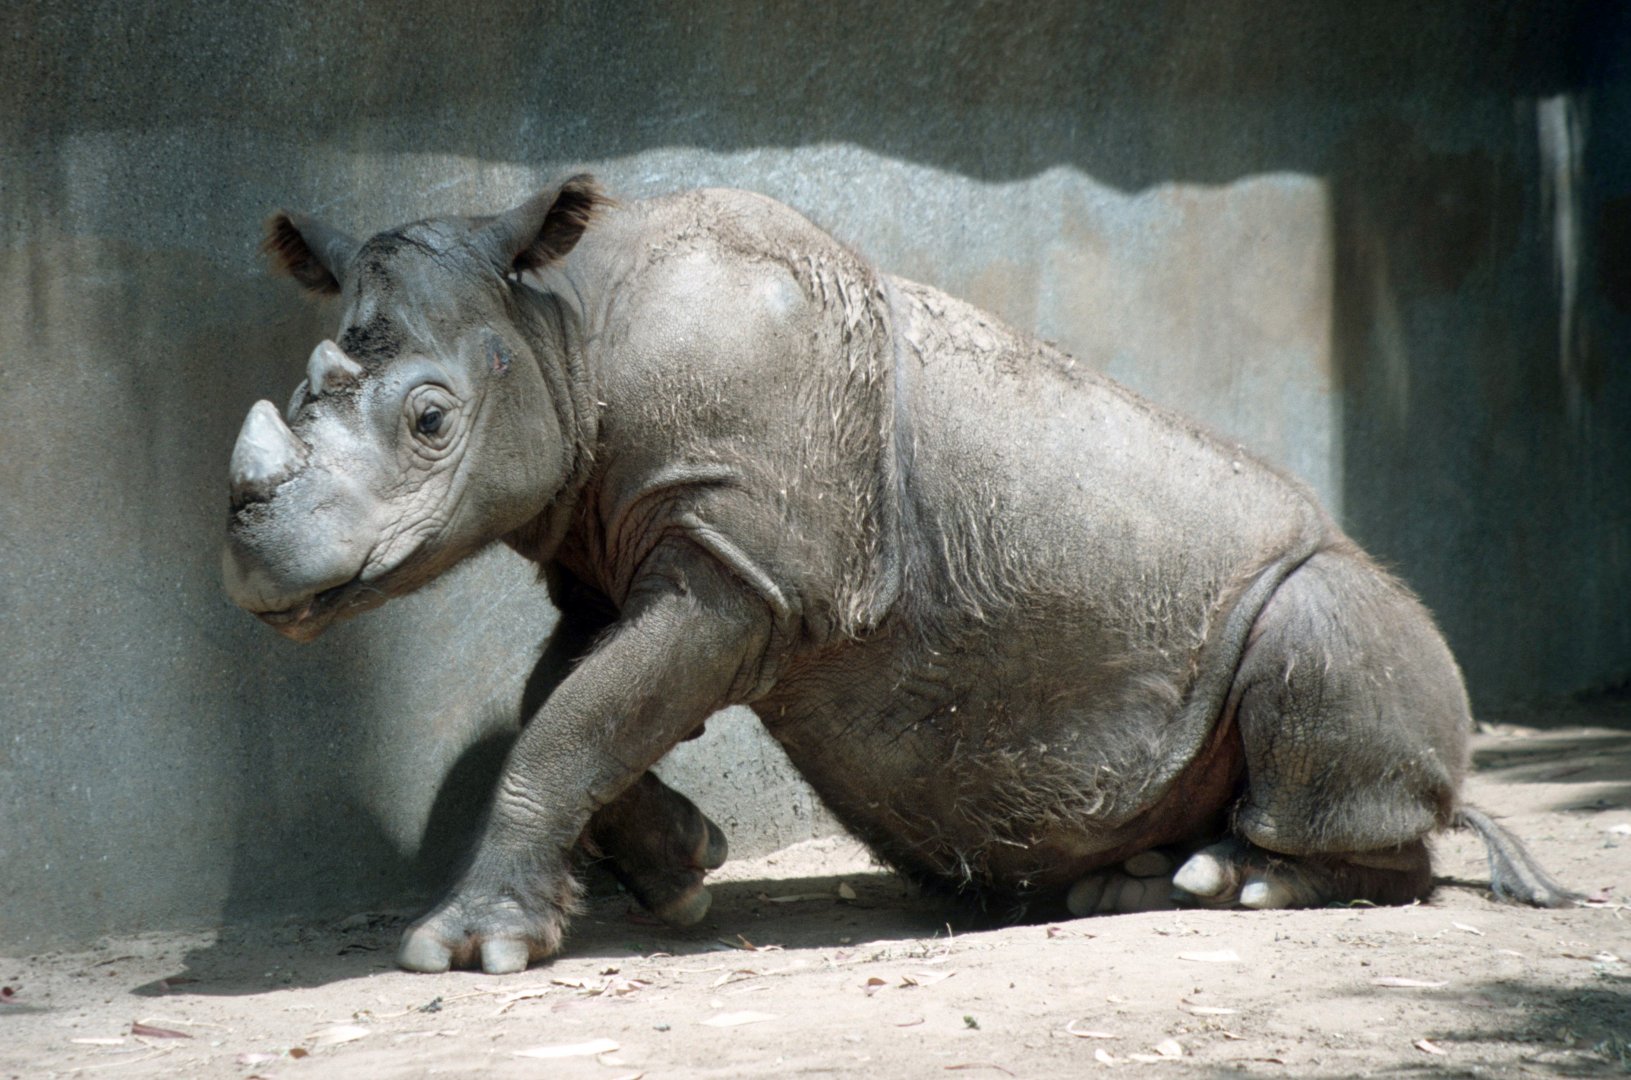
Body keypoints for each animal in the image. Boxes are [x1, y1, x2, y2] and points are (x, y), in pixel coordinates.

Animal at [223, 175, 1573, 974]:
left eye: (430, 421)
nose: (252, 568)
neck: (558, 323)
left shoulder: (740, 572)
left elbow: (573, 717)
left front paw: (468, 950)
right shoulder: (621, 544)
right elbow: (565, 701)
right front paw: (681, 868)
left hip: (1323, 590)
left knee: (1324, 633)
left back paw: (1231, 881)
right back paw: (1128, 883)